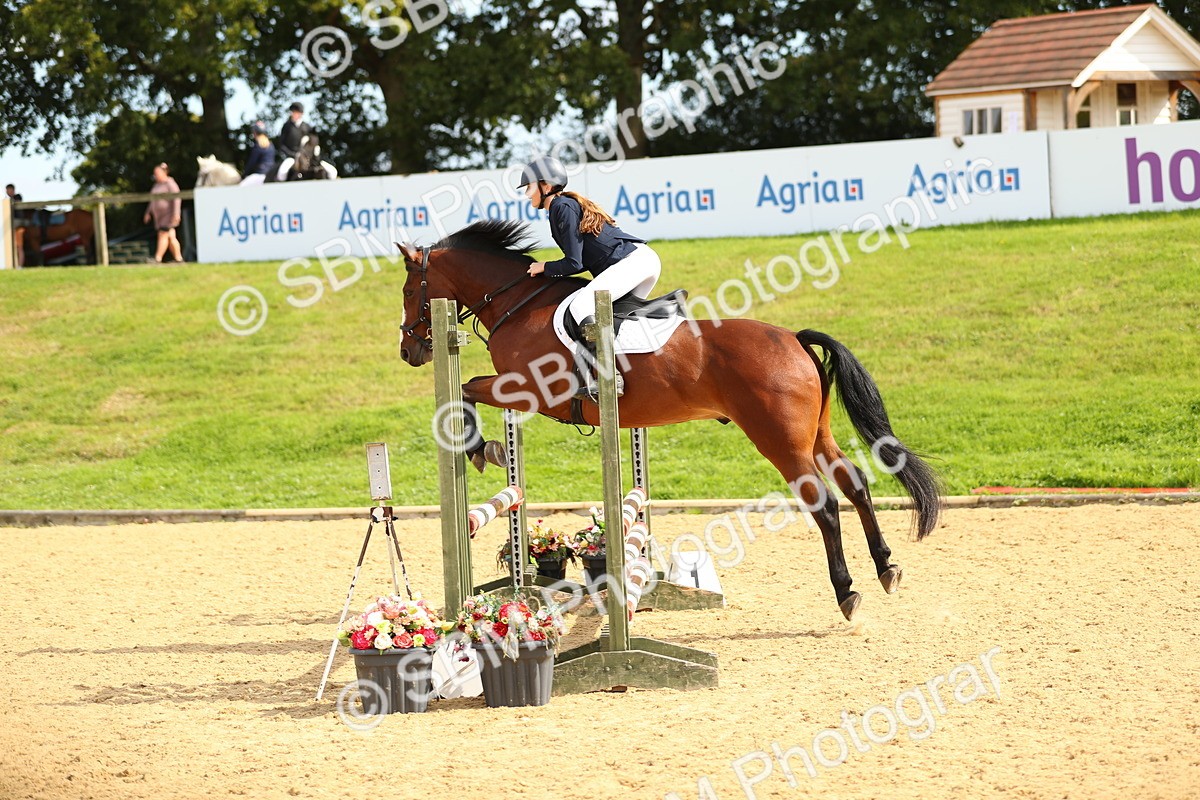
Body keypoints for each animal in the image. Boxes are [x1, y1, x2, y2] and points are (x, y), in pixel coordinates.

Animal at [395, 219, 941, 622]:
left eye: (406, 290)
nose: (408, 351)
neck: (515, 304)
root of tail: (792, 337)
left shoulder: (526, 390)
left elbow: (467, 391)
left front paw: (479, 448)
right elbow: (472, 393)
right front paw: (489, 449)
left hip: (782, 443)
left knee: (825, 505)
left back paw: (847, 593)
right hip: (818, 436)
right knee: (856, 485)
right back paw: (887, 567)